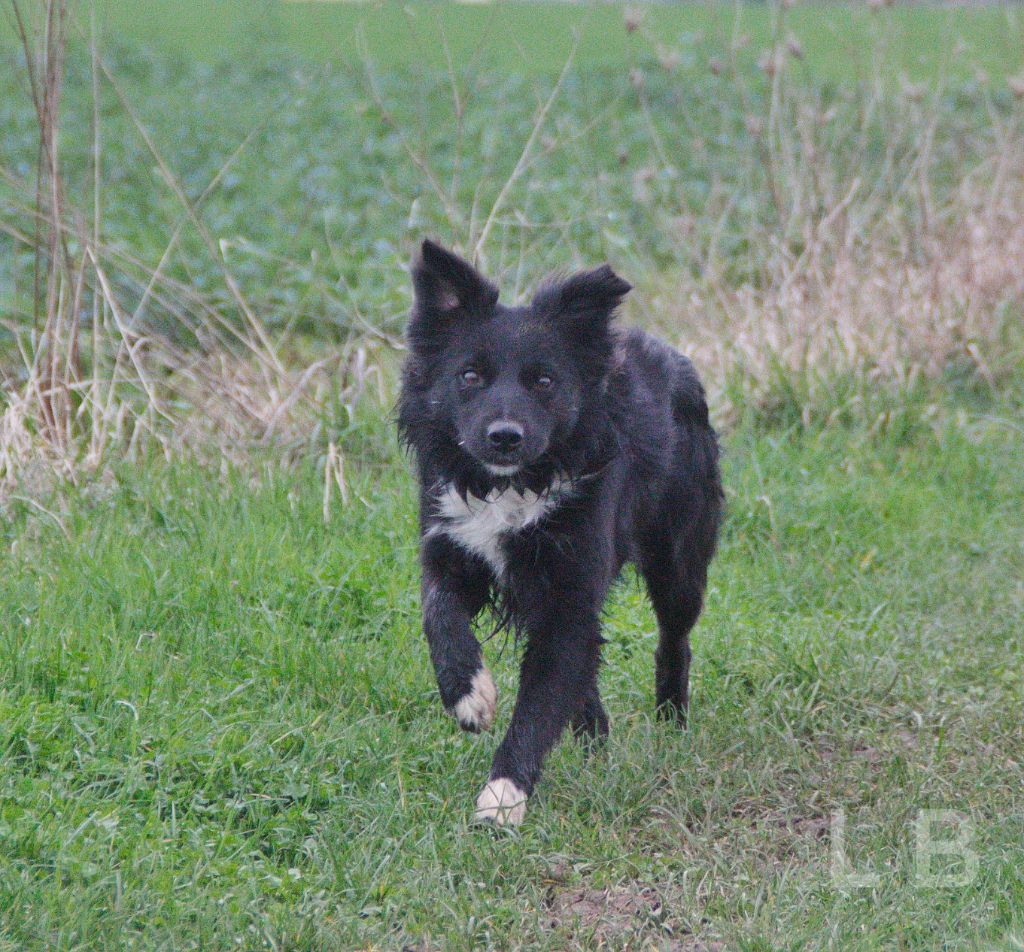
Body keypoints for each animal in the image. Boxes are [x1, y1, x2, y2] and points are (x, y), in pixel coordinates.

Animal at [395, 239, 724, 823]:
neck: (511, 486)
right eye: (469, 376)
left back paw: (671, 725)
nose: (504, 436)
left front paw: (503, 797)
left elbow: (541, 697)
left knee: (674, 639)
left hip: (678, 558)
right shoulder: (449, 548)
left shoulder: (569, 587)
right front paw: (469, 697)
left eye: (544, 381)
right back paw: (594, 740)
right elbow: (439, 617)